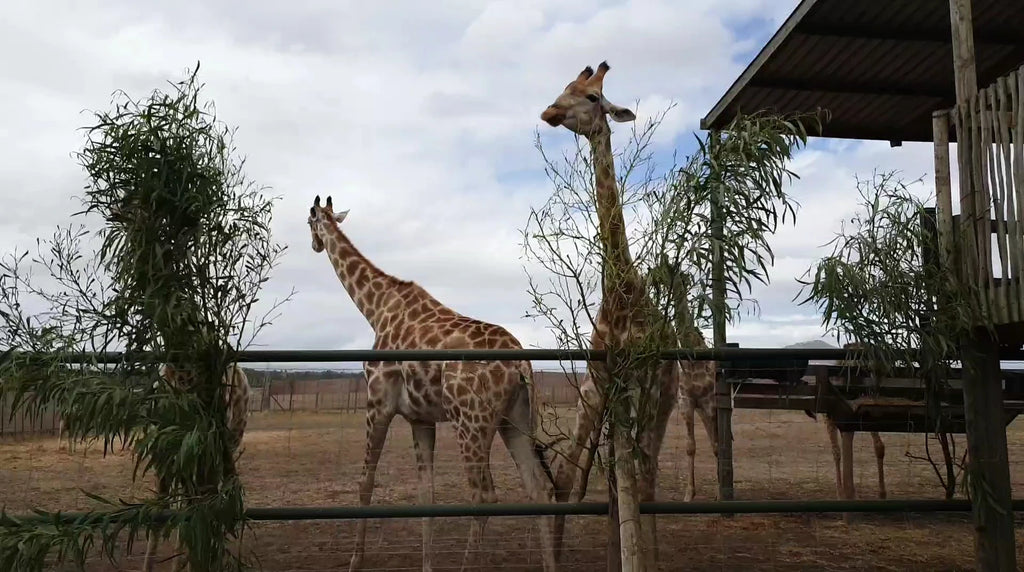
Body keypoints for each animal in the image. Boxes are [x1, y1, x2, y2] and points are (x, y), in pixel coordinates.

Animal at [306, 195, 557, 572]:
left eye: (310, 222)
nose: (315, 245)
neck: (375, 309)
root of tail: (520, 362)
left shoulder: (377, 403)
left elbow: (366, 482)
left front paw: (354, 561)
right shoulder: (419, 418)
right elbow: (427, 493)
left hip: (471, 421)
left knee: (484, 495)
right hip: (514, 419)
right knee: (538, 488)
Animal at [540, 61, 681, 570]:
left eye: (593, 98)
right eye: (563, 88)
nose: (550, 112)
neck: (622, 293)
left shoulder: (644, 381)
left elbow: (634, 478)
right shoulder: (608, 381)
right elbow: (609, 479)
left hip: (659, 398)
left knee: (642, 473)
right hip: (591, 398)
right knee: (569, 478)